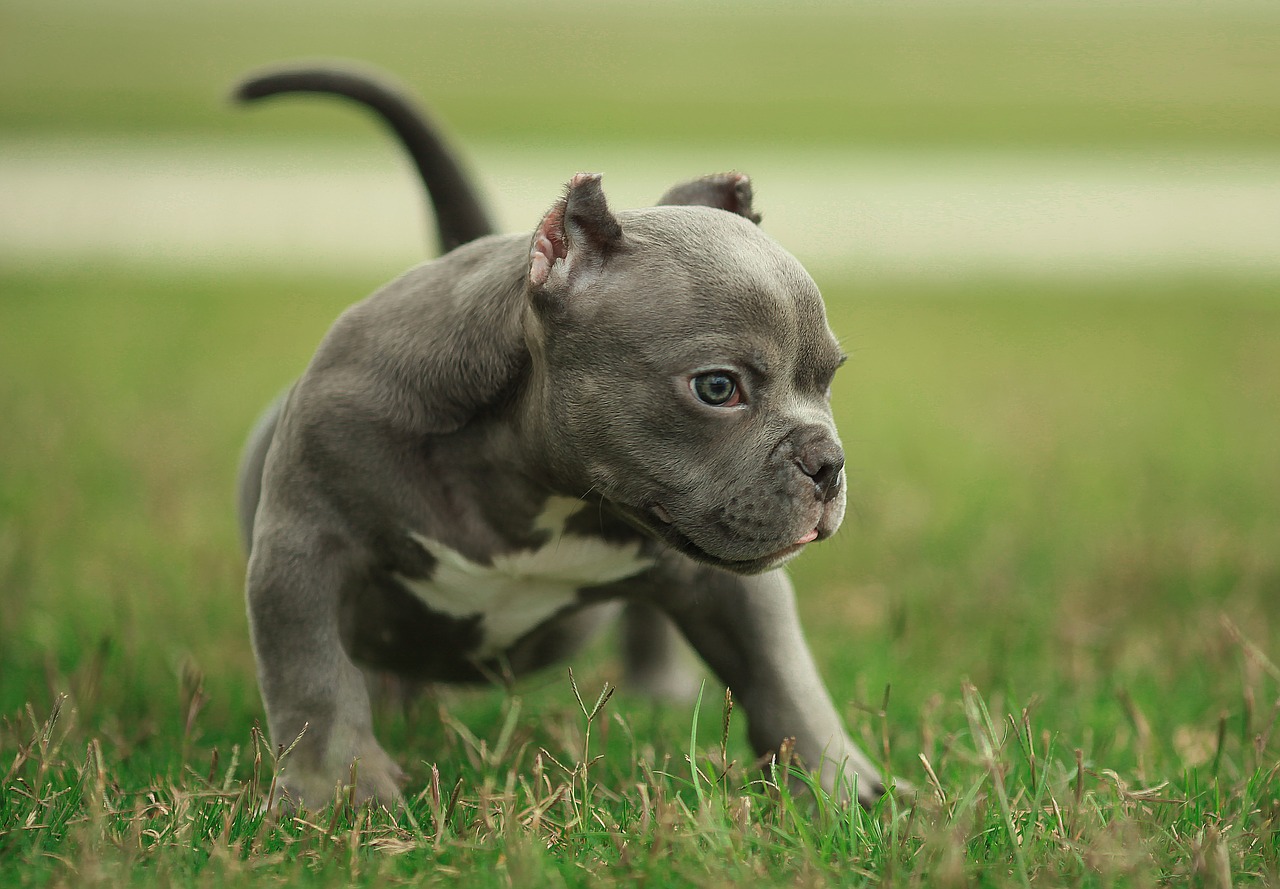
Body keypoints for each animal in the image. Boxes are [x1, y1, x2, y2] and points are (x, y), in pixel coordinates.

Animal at [235, 66, 885, 808]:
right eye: (718, 388)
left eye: (828, 378)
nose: (826, 462)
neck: (531, 478)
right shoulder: (303, 545)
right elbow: (313, 676)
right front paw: (339, 791)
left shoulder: (733, 585)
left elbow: (781, 670)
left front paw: (837, 782)